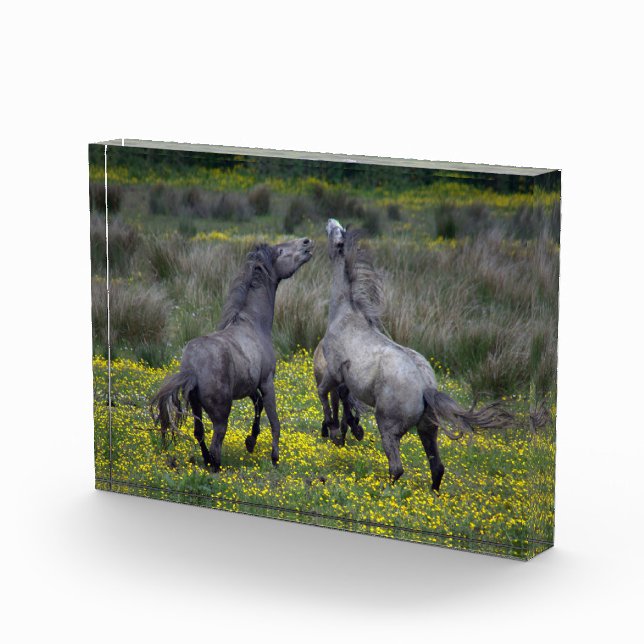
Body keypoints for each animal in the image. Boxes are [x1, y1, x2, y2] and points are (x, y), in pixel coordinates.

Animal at [151, 237, 314, 471]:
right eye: (281, 250)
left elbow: (258, 405)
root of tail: (192, 369)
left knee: (199, 434)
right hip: (221, 413)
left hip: (197, 407)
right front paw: (274, 457)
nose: (306, 242)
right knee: (216, 441)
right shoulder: (267, 381)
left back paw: (207, 460)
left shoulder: (250, 386)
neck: (253, 324)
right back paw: (215, 466)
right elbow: (274, 420)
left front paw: (250, 442)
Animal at [318, 219, 511, 492]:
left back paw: (386, 491)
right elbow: (344, 399)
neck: (346, 315)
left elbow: (324, 395)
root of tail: (425, 388)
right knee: (437, 467)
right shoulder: (346, 378)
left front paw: (332, 428)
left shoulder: (333, 371)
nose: (330, 221)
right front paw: (349, 429)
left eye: (337, 234)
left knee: (397, 468)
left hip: (388, 426)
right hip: (427, 429)